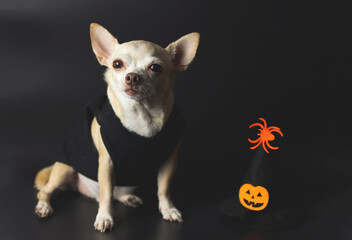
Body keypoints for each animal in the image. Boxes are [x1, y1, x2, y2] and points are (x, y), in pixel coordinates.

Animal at [34, 23, 199, 232]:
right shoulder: (106, 164)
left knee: (115, 194)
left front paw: (168, 209)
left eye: (155, 68)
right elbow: (106, 194)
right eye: (117, 64)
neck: (142, 115)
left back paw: (128, 198)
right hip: (64, 169)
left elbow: (164, 189)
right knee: (48, 191)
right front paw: (105, 217)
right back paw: (44, 205)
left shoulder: (169, 162)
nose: (132, 77)